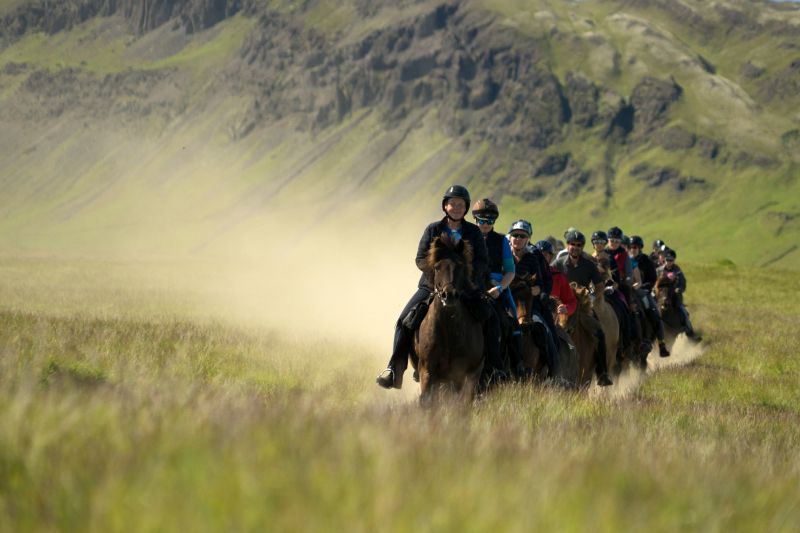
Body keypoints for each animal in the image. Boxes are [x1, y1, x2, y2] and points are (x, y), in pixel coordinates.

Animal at [412, 234, 482, 404]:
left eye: (461, 266)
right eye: (437, 267)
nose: (448, 295)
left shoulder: (464, 374)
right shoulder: (427, 370)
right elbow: (427, 401)